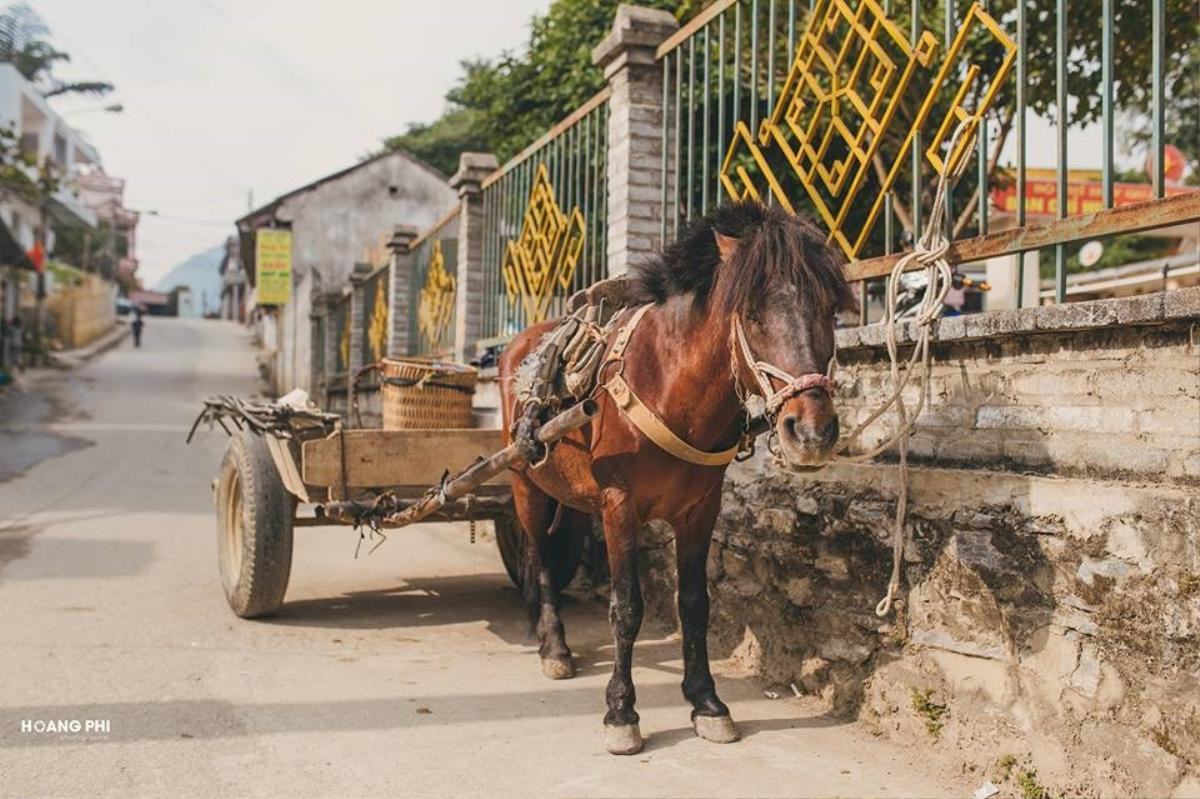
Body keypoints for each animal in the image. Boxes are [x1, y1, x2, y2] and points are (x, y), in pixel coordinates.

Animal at [496, 199, 854, 753]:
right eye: (751, 314)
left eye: (828, 310)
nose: (811, 432)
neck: (669, 385)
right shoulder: (619, 506)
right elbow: (626, 608)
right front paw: (621, 712)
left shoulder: (701, 510)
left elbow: (695, 603)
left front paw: (706, 701)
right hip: (523, 483)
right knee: (537, 556)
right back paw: (553, 644)